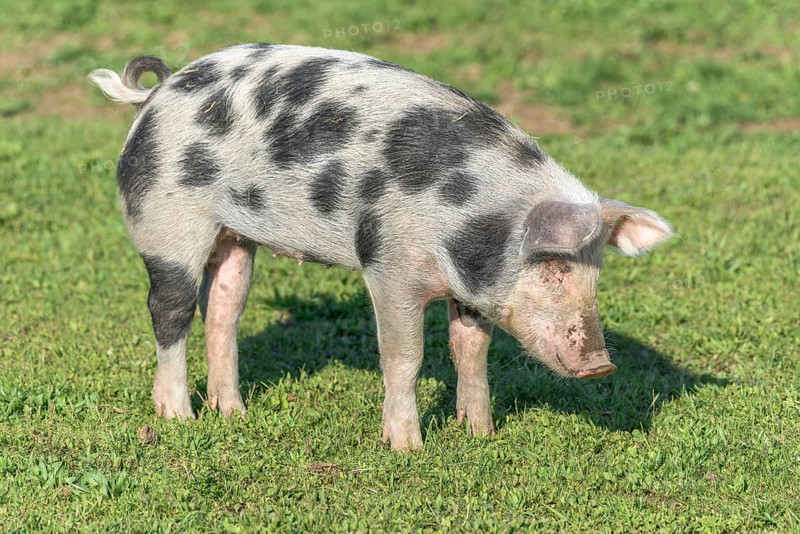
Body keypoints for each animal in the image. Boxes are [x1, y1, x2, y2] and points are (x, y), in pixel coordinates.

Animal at [89, 44, 673, 450]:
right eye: (553, 267)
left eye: (595, 272)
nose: (601, 364)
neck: (466, 212)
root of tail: (158, 93)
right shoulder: (389, 268)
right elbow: (405, 357)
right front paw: (407, 448)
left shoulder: (470, 288)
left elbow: (471, 352)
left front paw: (480, 434)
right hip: (167, 225)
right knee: (170, 312)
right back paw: (177, 417)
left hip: (236, 238)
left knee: (224, 312)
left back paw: (233, 413)